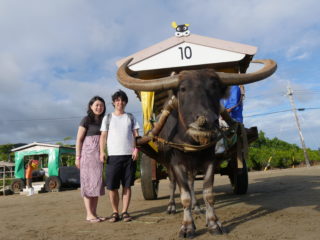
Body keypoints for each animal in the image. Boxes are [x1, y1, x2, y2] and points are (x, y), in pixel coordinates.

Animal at [116, 58, 276, 238]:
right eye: (183, 89)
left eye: (215, 88)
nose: (204, 121)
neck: (191, 141)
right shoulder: (176, 163)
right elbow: (184, 194)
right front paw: (187, 227)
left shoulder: (210, 161)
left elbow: (208, 193)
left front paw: (213, 223)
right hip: (168, 164)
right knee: (173, 184)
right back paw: (171, 206)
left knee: (192, 183)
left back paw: (197, 206)